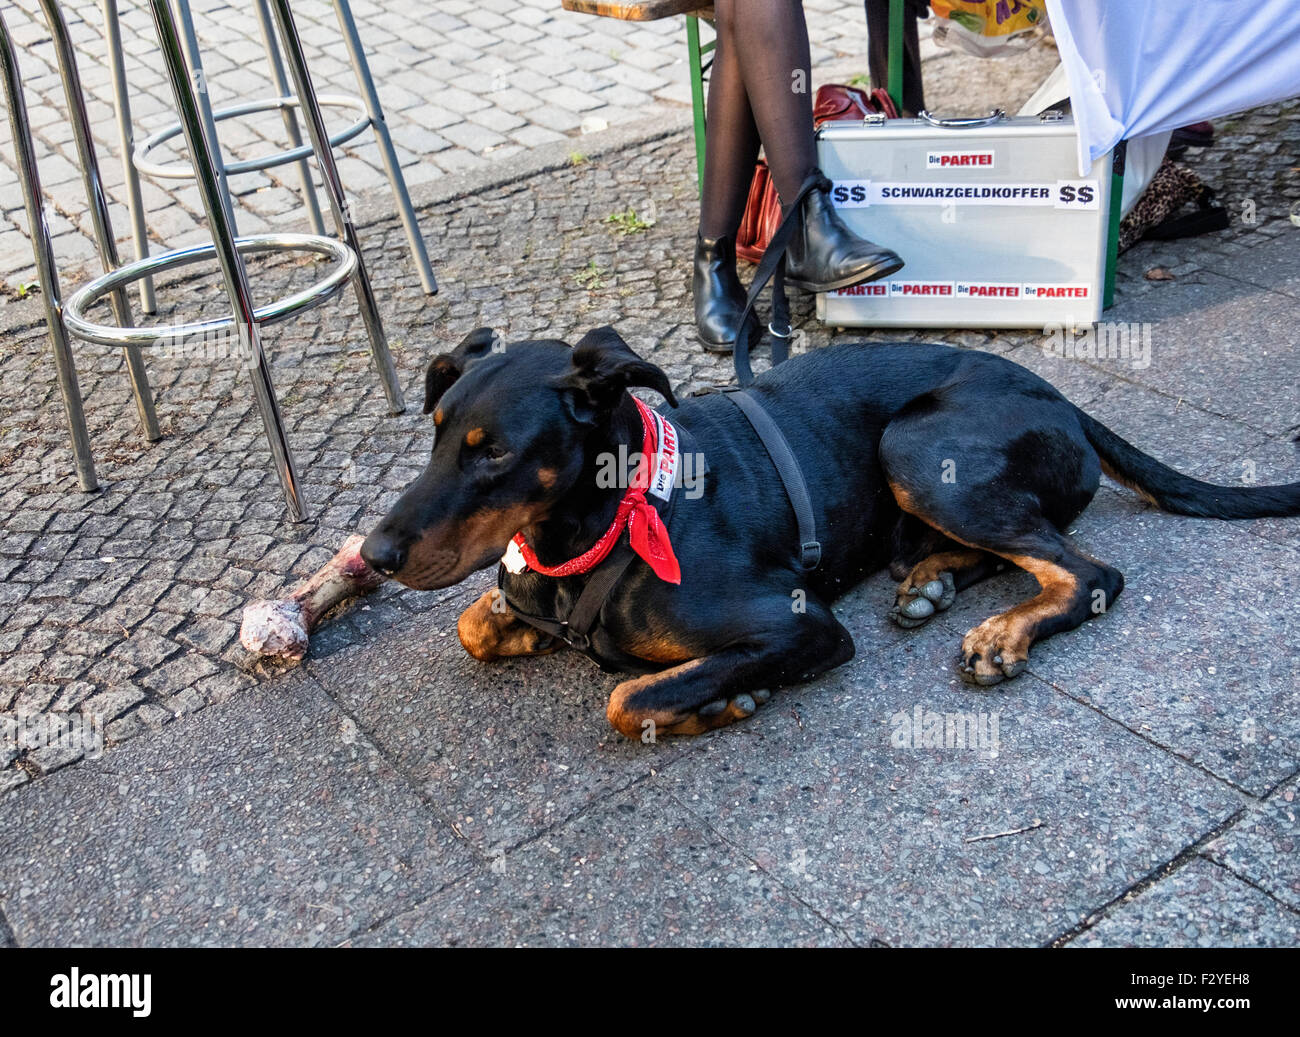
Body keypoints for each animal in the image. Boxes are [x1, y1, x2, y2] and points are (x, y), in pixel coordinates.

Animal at [361, 328, 1300, 743]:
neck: (607, 524)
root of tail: (1062, 398)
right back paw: (930, 583)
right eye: (435, 431)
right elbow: (474, 623)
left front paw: (722, 700)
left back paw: (1000, 631)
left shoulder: (801, 624)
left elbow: (625, 697)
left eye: (495, 452)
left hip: (918, 445)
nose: (373, 556)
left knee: (1089, 569)